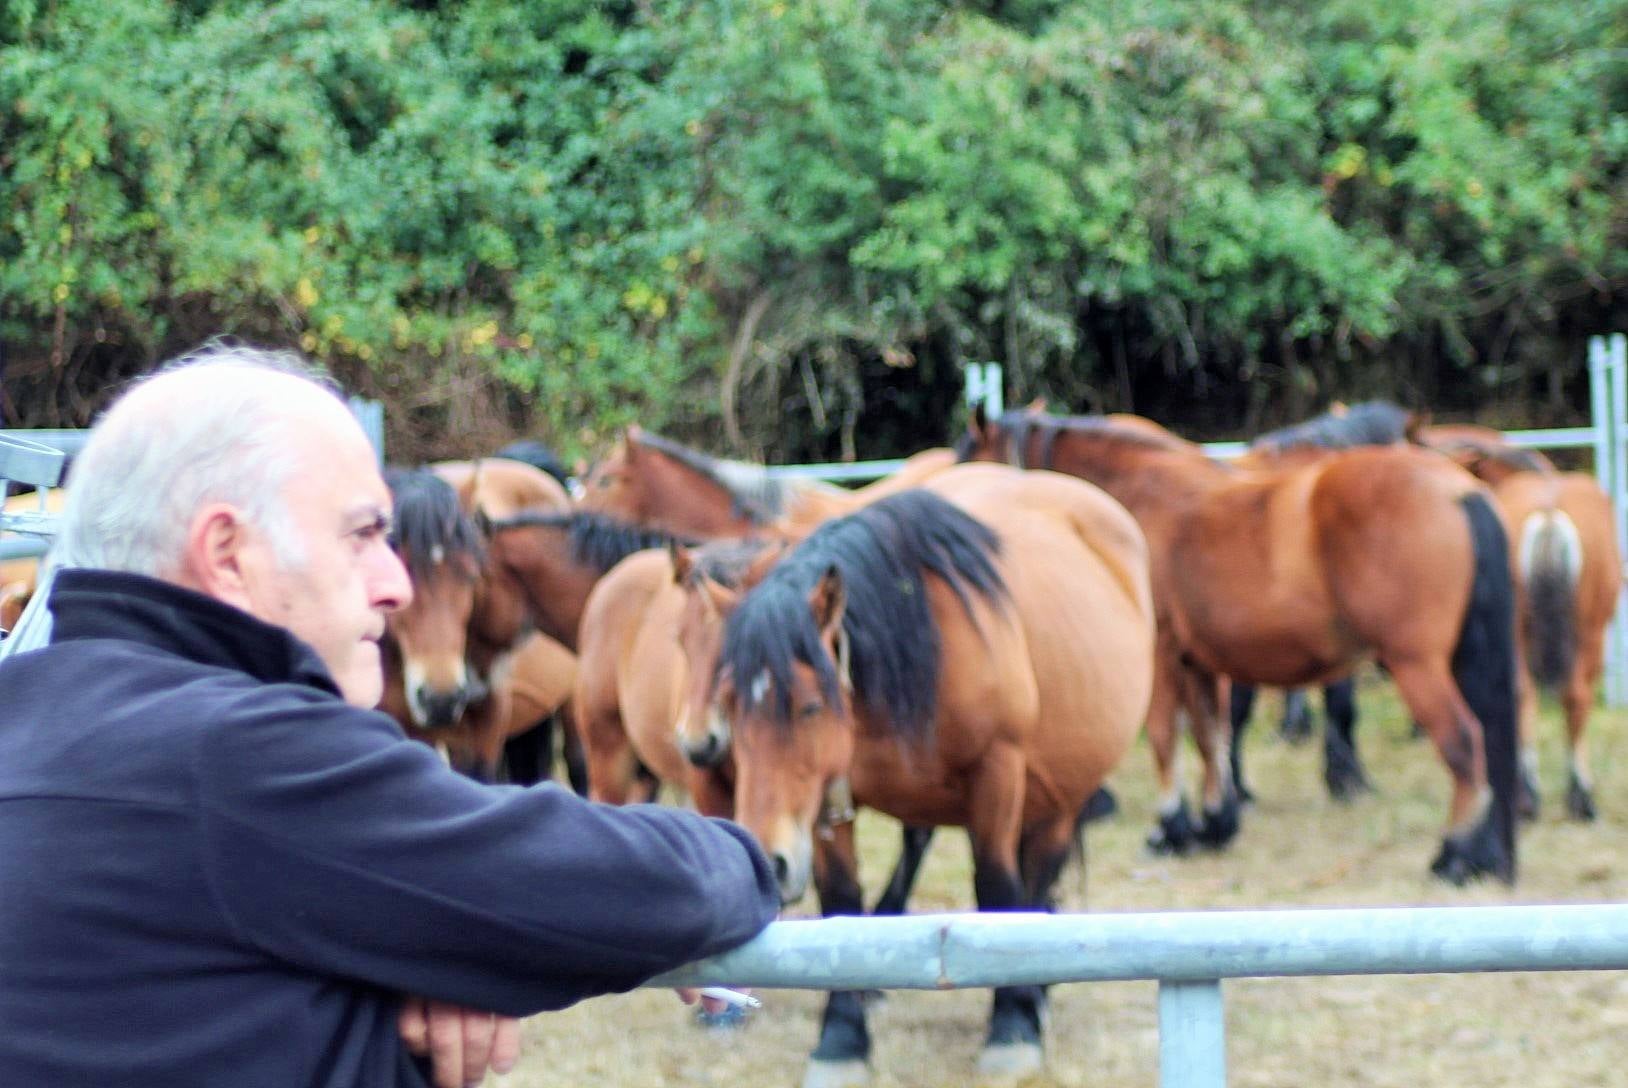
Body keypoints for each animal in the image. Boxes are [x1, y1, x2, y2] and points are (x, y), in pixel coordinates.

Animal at [667, 469, 1152, 1088]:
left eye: (808, 706)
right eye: (731, 702)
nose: (770, 864)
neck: (923, 637)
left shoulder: (998, 773)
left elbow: (999, 891)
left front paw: (1011, 1029)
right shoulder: (828, 798)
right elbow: (842, 902)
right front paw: (841, 1039)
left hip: (1060, 796)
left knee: (1039, 876)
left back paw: (1033, 995)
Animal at [957, 407, 1517, 886]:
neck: (1135, 505)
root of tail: (1458, 490)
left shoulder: (1162, 658)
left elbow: (1166, 737)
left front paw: (1170, 829)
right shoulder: (1198, 663)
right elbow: (1212, 738)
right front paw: (1214, 826)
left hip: (1417, 666)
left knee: (1464, 744)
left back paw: (1452, 856)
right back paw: (1485, 855)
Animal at [1419, 423, 1621, 814]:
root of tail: (1548, 511)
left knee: (1525, 694)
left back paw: (1529, 794)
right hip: (1585, 632)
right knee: (1571, 696)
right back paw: (1579, 794)